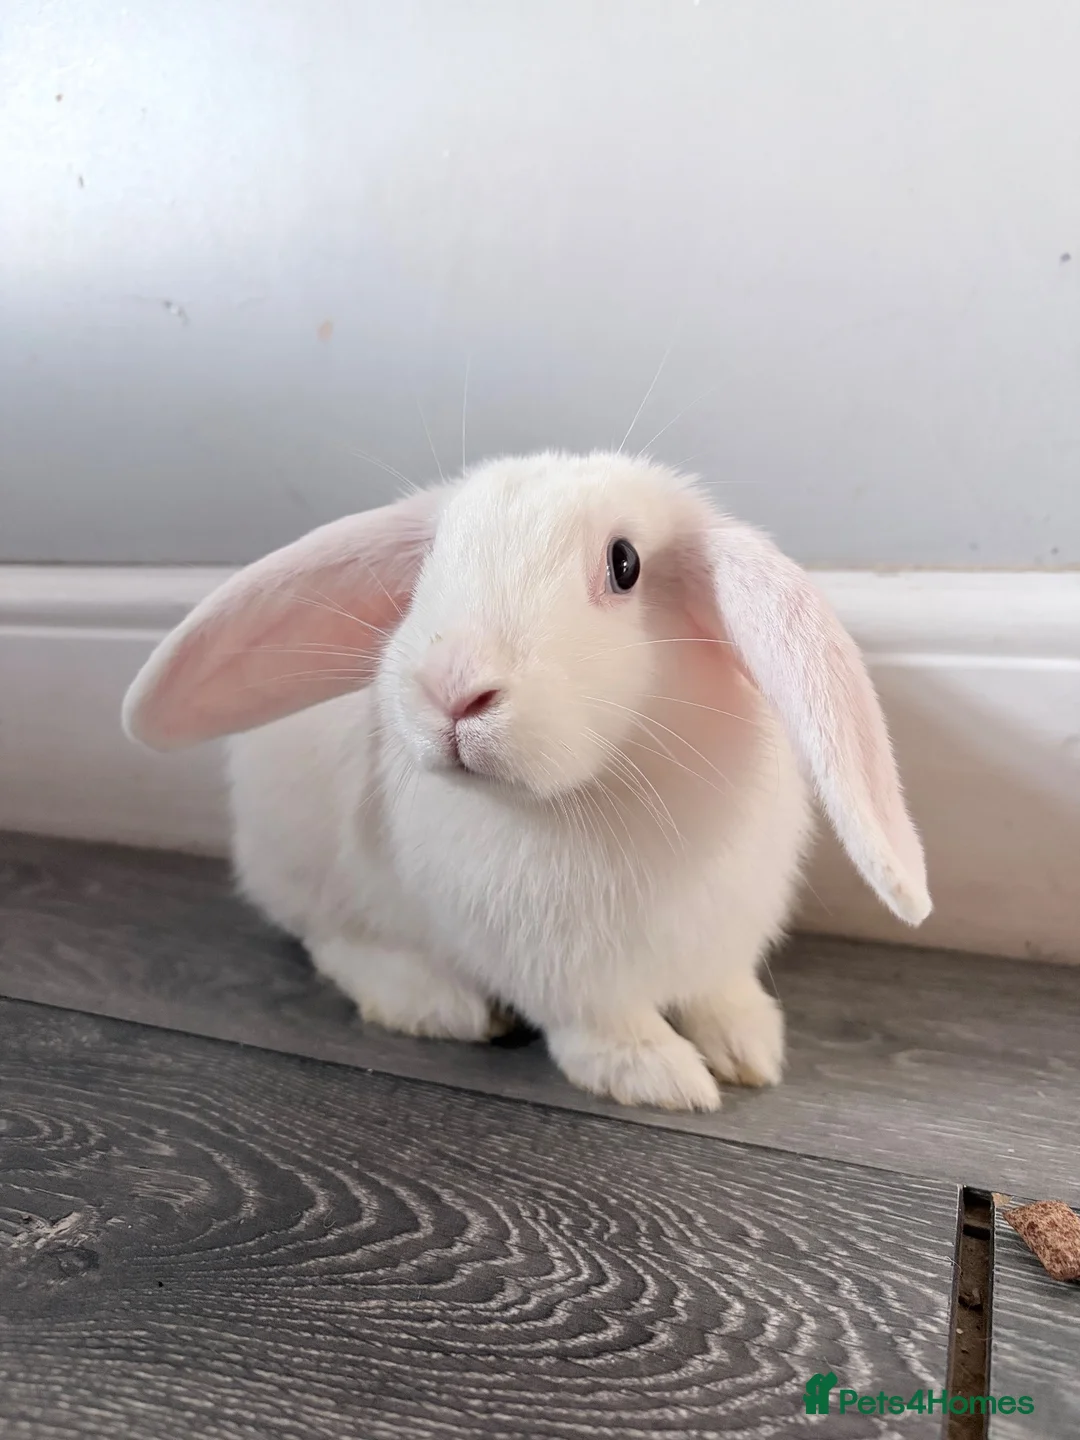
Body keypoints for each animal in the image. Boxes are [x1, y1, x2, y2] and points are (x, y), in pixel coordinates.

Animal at [123, 451, 930, 1112]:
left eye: (625, 562)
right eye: (431, 562)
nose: (453, 689)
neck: (594, 795)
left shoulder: (720, 935)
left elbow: (720, 993)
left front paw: (750, 1049)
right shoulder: (562, 972)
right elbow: (605, 1026)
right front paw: (659, 1076)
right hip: (311, 868)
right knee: (332, 943)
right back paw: (441, 1006)